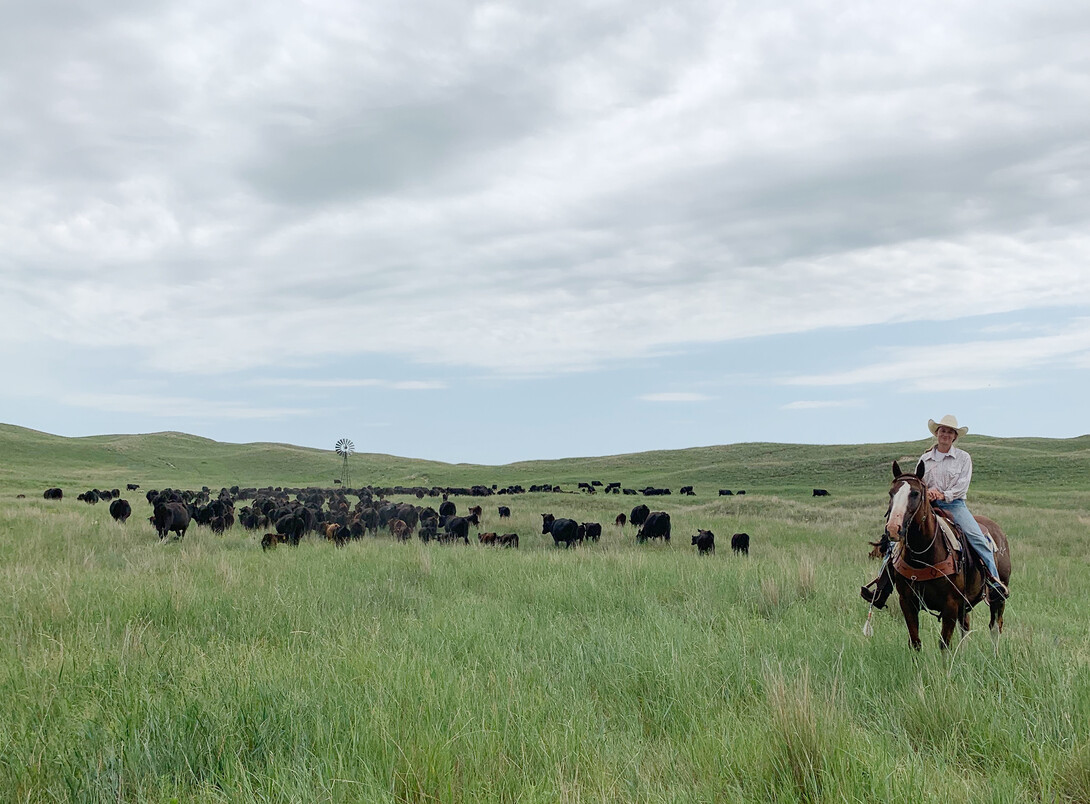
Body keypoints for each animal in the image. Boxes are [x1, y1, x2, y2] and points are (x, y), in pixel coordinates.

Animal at [880, 459, 1007, 649]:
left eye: (915, 493)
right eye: (891, 493)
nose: (893, 529)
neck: (922, 557)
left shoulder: (951, 605)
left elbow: (944, 644)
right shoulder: (907, 602)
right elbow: (915, 642)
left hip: (998, 598)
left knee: (994, 626)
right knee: (965, 626)